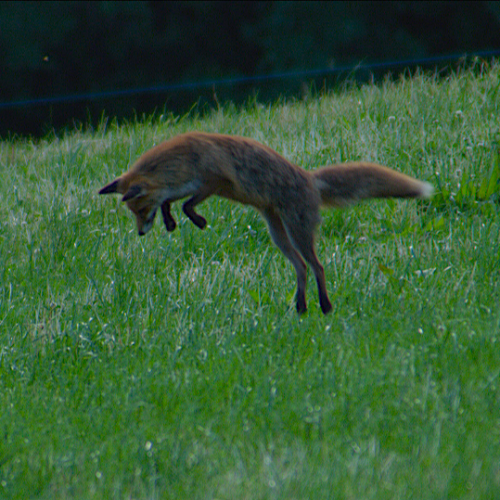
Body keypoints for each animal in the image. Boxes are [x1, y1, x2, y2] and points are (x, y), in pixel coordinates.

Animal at [99, 132, 432, 312]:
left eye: (140, 210)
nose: (141, 233)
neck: (182, 160)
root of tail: (310, 178)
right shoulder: (184, 186)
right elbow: (172, 203)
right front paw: (171, 223)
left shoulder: (215, 180)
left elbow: (187, 204)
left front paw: (198, 221)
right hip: (278, 234)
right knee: (301, 267)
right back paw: (301, 307)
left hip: (297, 231)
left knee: (318, 266)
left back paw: (325, 305)